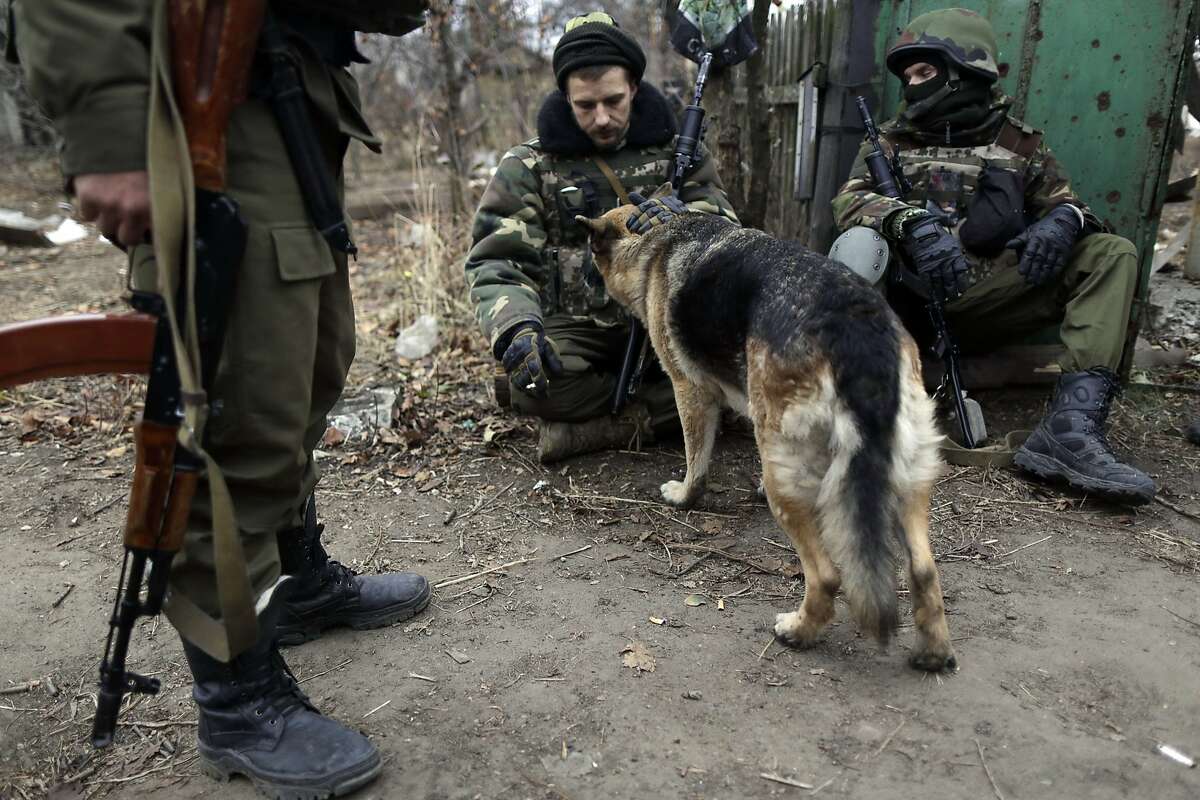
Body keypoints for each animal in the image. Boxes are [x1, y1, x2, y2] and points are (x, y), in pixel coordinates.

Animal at [576, 206, 960, 671]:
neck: (657, 237)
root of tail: (854, 325)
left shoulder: (690, 392)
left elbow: (696, 460)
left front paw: (684, 495)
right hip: (907, 477)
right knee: (923, 569)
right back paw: (933, 653)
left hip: (787, 478)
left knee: (826, 575)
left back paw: (798, 630)